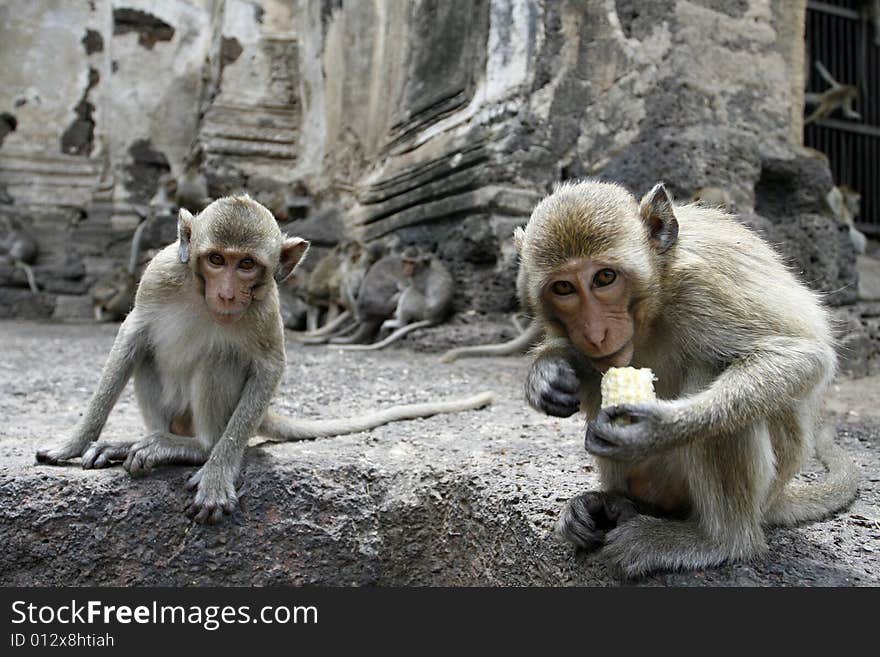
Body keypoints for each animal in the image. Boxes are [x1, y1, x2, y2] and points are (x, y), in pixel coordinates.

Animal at [34, 193, 496, 524]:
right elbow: (133, 336)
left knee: (219, 363)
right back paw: (139, 440)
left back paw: (192, 448)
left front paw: (218, 471)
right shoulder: (160, 274)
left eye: (246, 265)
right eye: (215, 259)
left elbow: (269, 366)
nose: (226, 294)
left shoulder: (266, 303)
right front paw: (74, 442)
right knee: (147, 356)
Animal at [516, 178, 860, 576]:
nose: (595, 333)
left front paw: (657, 429)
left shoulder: (702, 289)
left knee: (717, 373)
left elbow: (802, 355)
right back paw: (612, 503)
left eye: (604, 278)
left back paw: (717, 540)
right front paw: (546, 375)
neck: (657, 293)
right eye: (563, 288)